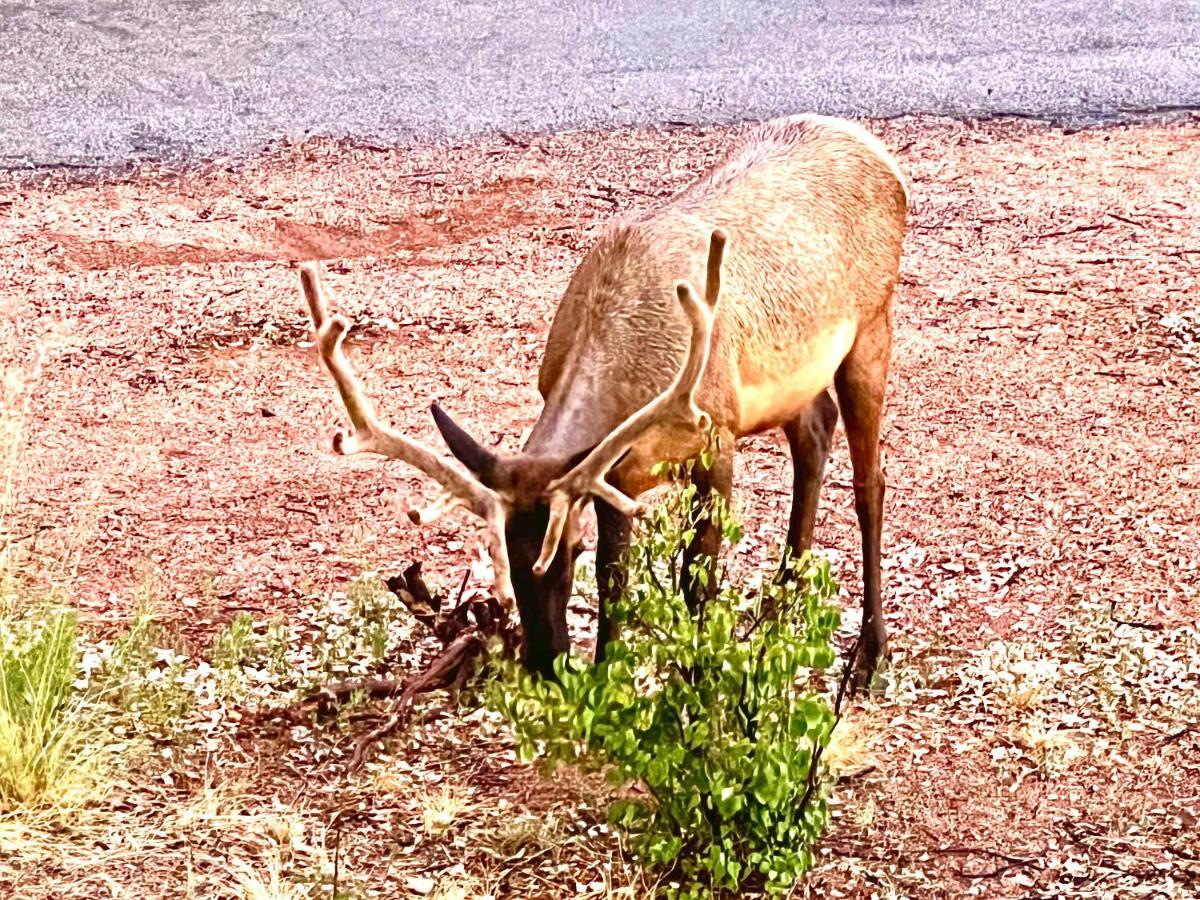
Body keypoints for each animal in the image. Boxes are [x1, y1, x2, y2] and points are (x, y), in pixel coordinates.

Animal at [302, 114, 907, 691]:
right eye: (506, 556)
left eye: (568, 550)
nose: (545, 662)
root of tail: (881, 155)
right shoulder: (618, 475)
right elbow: (614, 578)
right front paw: (604, 673)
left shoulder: (717, 433)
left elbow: (697, 578)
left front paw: (697, 683)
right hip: (793, 382)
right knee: (815, 430)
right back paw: (778, 606)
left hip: (873, 321)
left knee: (870, 481)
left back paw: (868, 655)